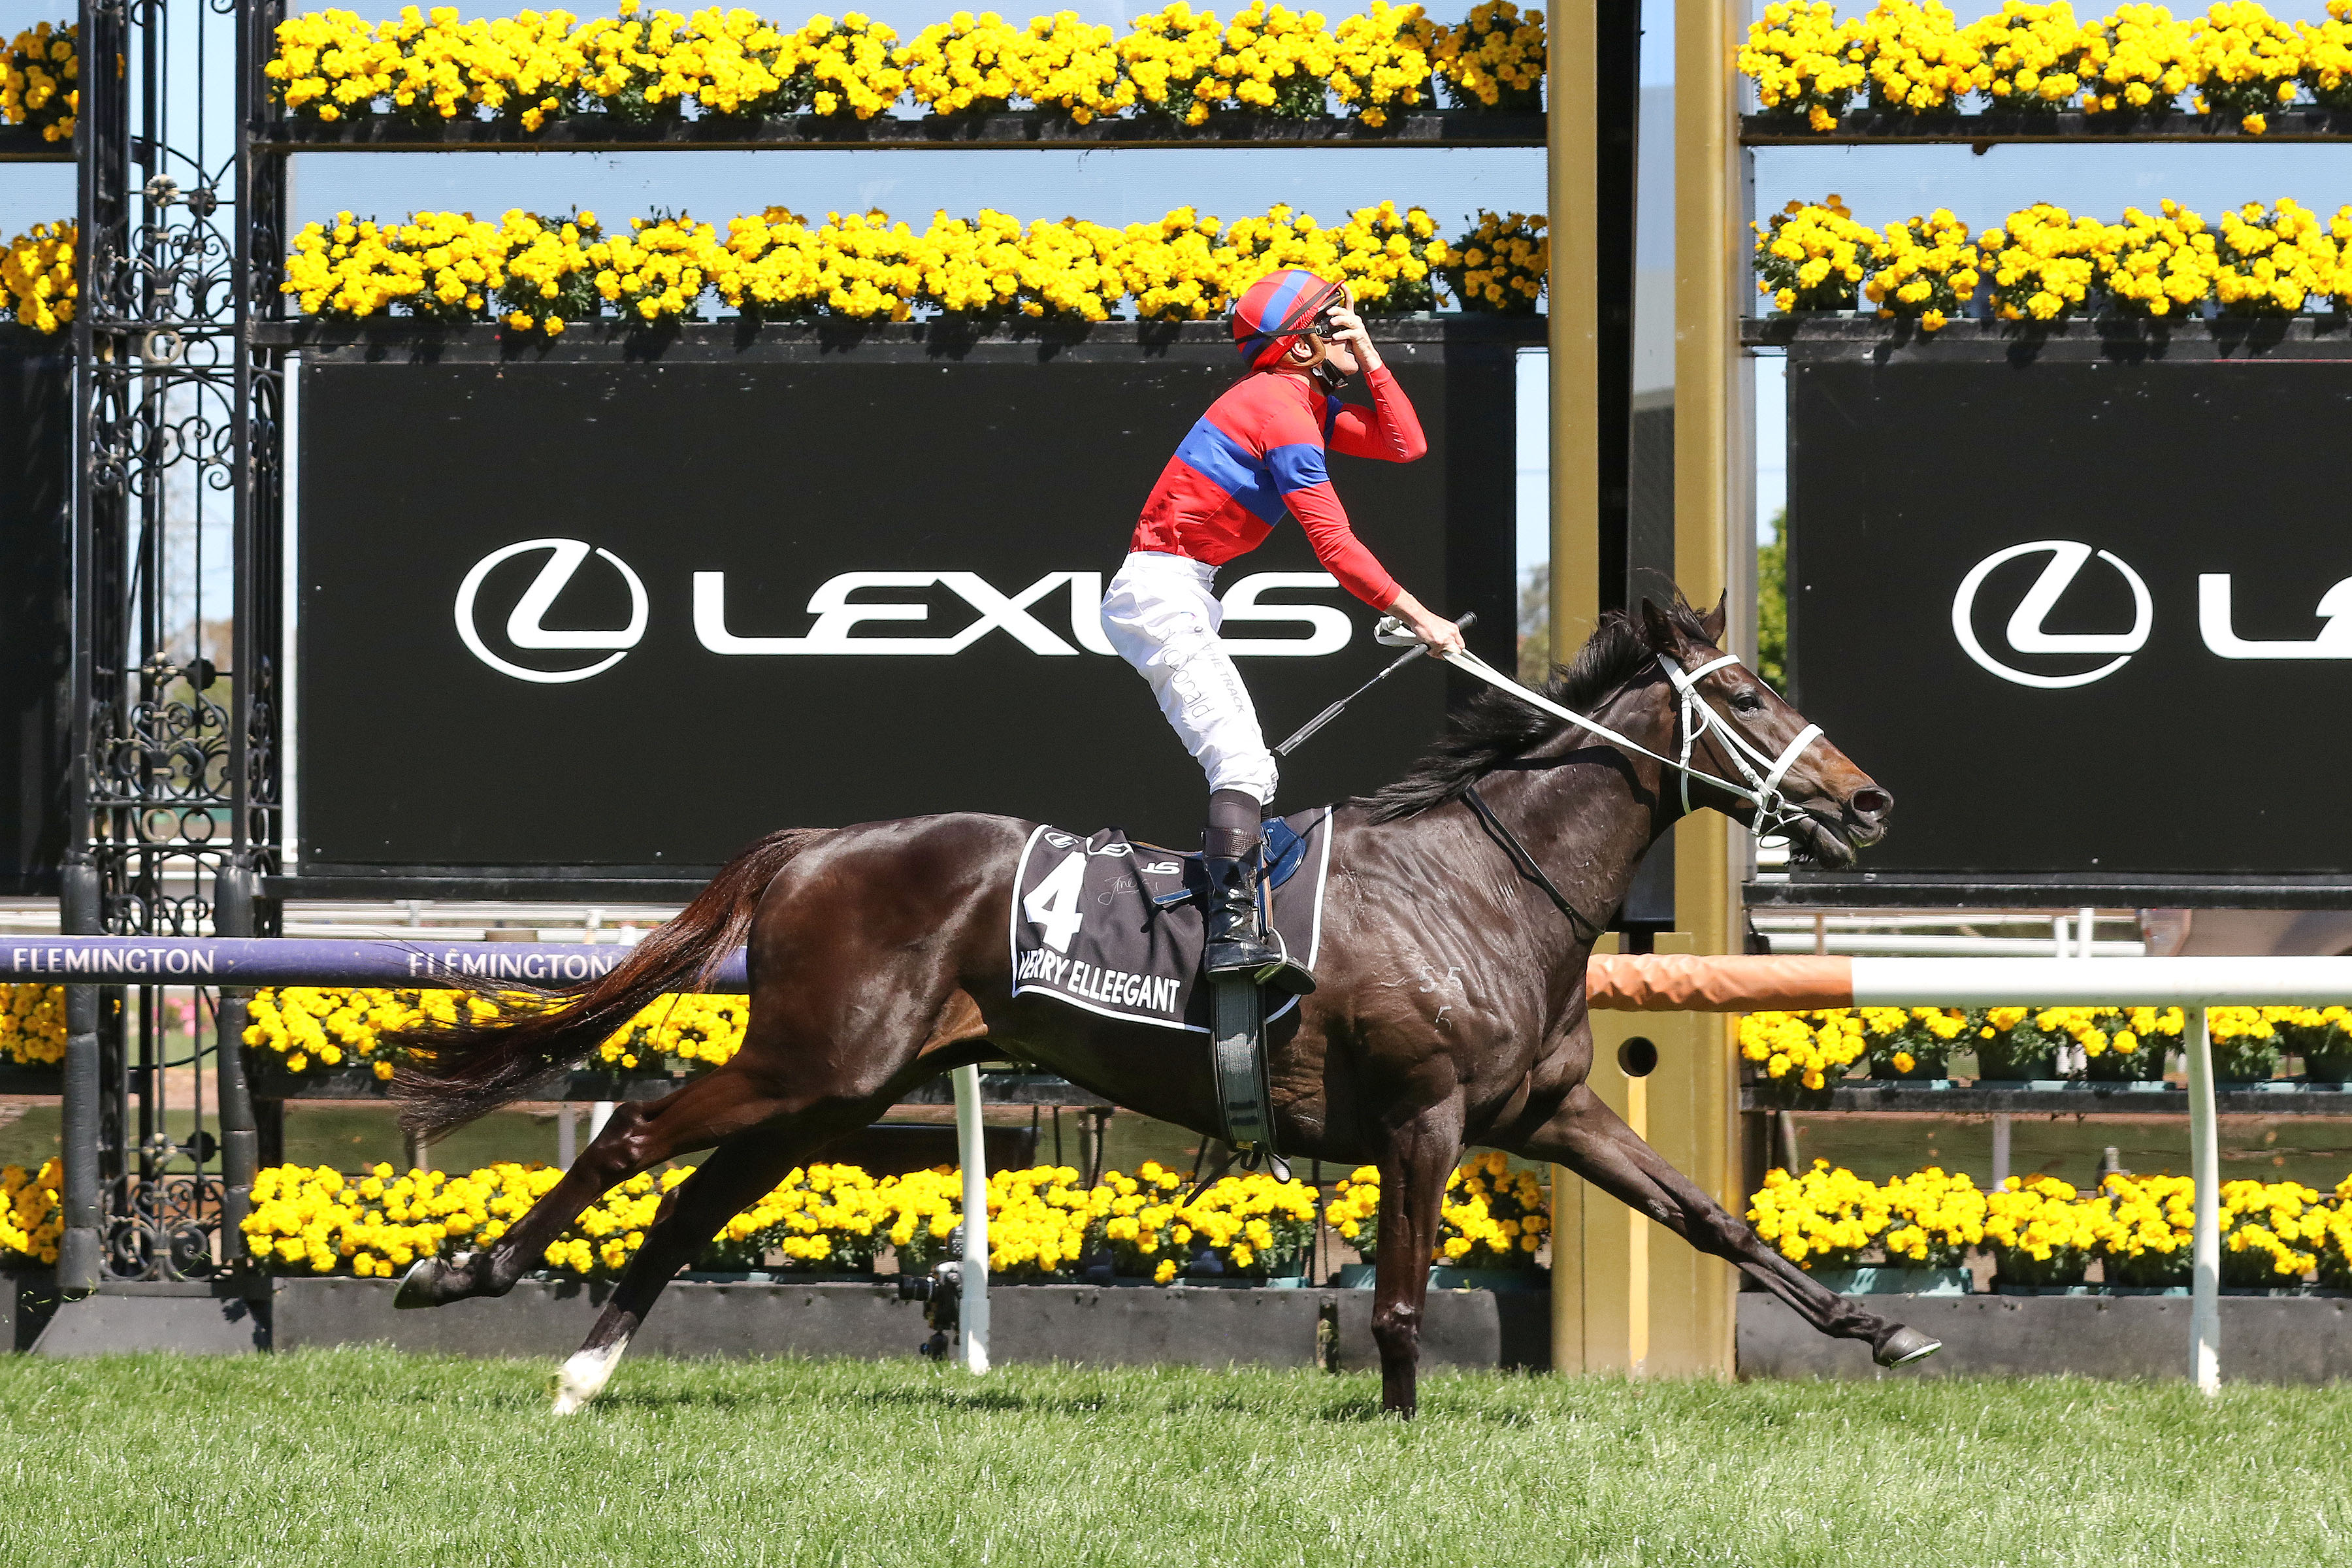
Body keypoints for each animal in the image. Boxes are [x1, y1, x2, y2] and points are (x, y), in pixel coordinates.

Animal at [390, 595, 1929, 1420]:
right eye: (1746, 692)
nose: (1868, 799)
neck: (1485, 879)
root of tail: (820, 844)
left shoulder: (1547, 1110)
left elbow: (1714, 1217)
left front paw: (1882, 1333)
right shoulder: (1424, 1117)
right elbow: (1401, 1298)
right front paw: (1402, 1425)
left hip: (841, 1087)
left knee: (697, 1196)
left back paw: (585, 1371)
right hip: (813, 1062)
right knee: (636, 1136)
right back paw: (461, 1275)